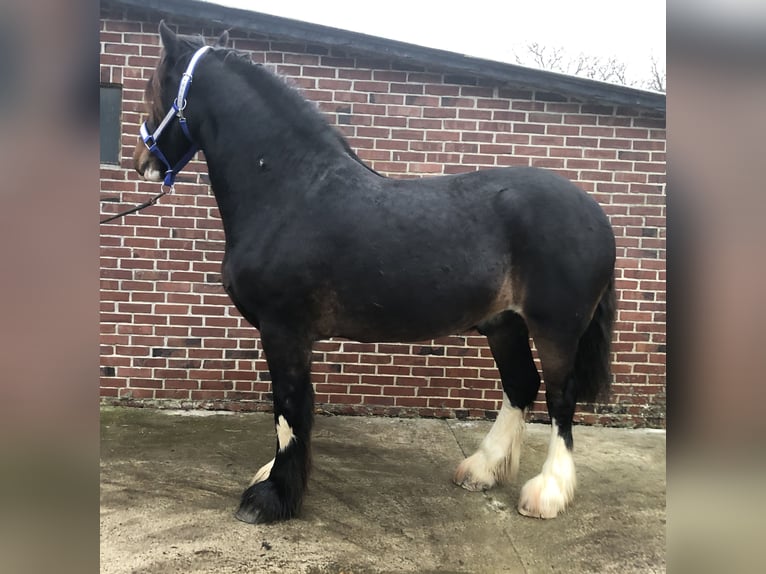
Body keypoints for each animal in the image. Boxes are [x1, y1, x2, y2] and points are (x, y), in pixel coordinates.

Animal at [131, 22, 616, 524]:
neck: (290, 191)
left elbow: (288, 409)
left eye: (153, 88)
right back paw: (482, 469)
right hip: (504, 324)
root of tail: (596, 214)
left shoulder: (282, 329)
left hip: (556, 328)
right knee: (521, 385)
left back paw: (547, 493)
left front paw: (270, 498)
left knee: (561, 397)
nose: (142, 162)